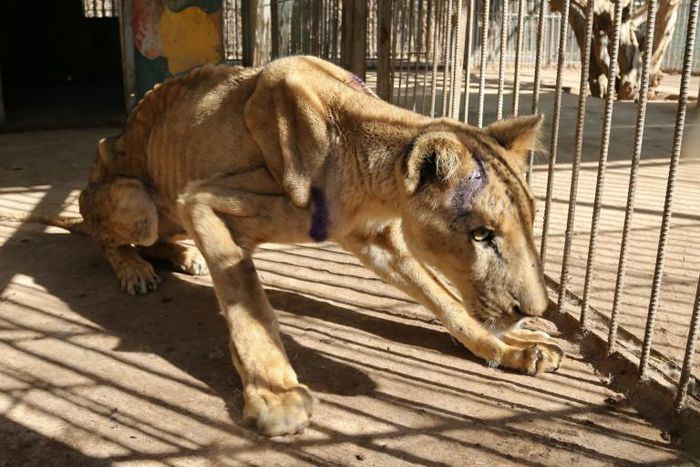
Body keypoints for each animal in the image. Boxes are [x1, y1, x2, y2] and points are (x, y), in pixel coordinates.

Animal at [69, 56, 563, 436]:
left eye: (530, 221)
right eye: (481, 234)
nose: (535, 310)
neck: (370, 178)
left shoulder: (376, 240)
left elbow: (446, 301)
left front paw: (514, 347)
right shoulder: (202, 200)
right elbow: (249, 306)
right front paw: (277, 398)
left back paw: (184, 257)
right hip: (137, 199)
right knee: (105, 237)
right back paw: (136, 270)